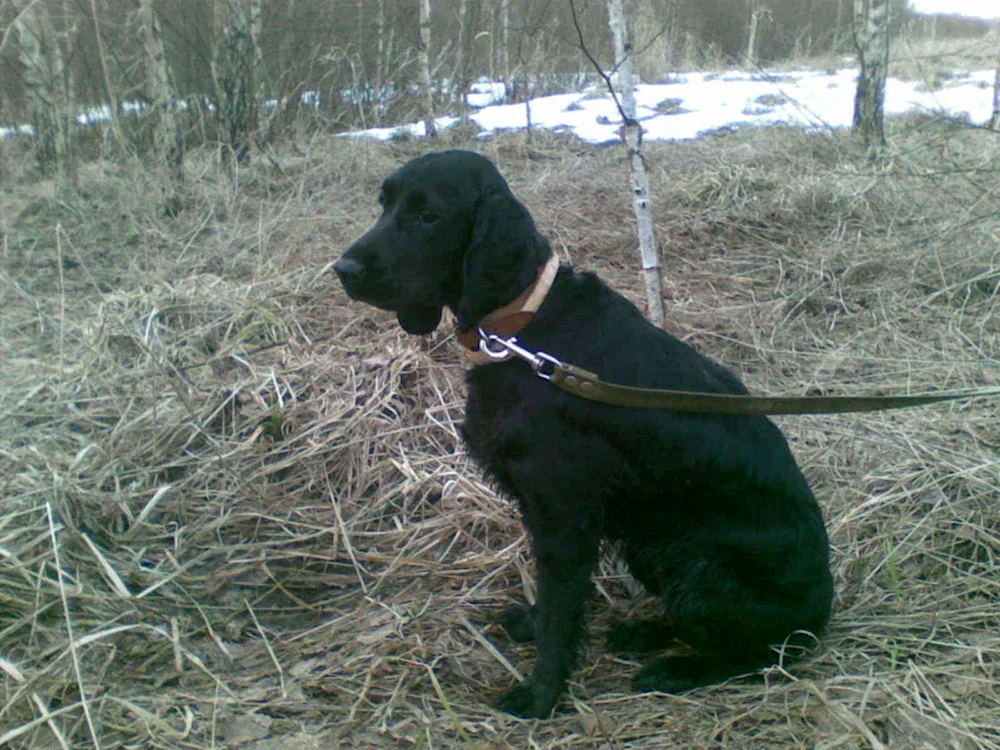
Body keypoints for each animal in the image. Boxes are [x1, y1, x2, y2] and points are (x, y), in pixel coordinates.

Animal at [332, 150, 832, 720]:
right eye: (385, 205)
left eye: (428, 216)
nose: (343, 270)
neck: (524, 330)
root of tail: (824, 607)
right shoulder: (542, 513)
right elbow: (551, 597)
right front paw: (531, 629)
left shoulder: (563, 515)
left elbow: (561, 606)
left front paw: (540, 694)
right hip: (649, 544)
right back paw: (645, 632)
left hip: (691, 558)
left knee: (758, 653)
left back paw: (677, 669)